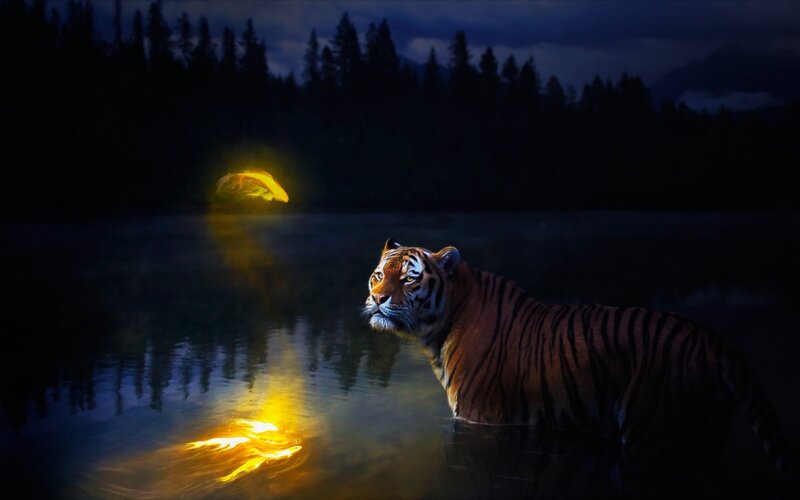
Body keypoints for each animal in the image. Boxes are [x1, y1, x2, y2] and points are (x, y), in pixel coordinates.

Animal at [363, 238, 797, 478]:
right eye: (379, 275)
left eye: (410, 279)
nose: (378, 299)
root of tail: (716, 339)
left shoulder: (482, 418)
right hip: (703, 437)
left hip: (654, 433)